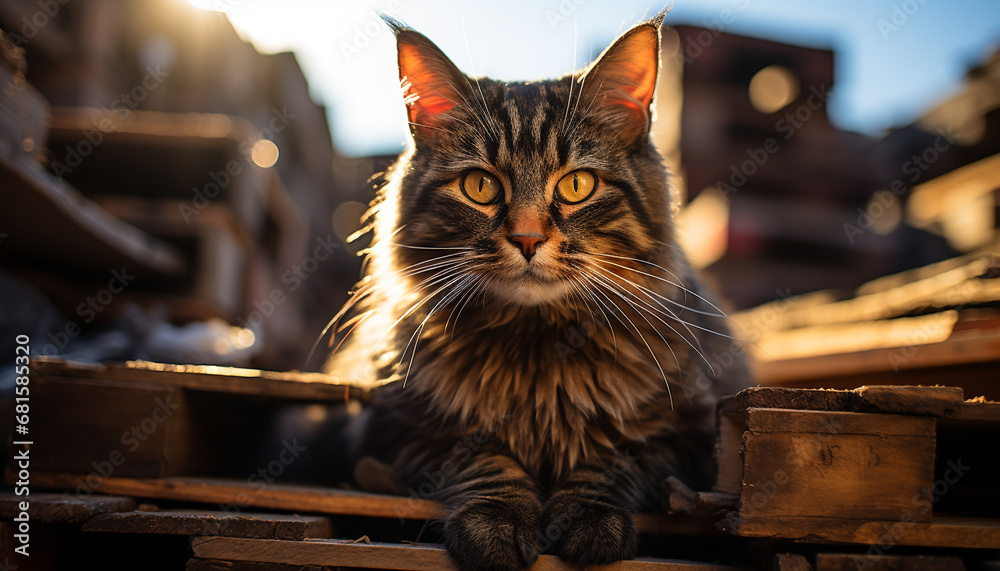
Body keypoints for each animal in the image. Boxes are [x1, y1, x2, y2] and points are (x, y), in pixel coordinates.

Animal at [324, 10, 752, 571]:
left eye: (577, 185)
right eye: (480, 187)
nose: (527, 239)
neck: (538, 349)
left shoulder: (690, 433)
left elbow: (611, 458)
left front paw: (588, 520)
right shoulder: (395, 423)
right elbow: (483, 457)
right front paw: (497, 521)